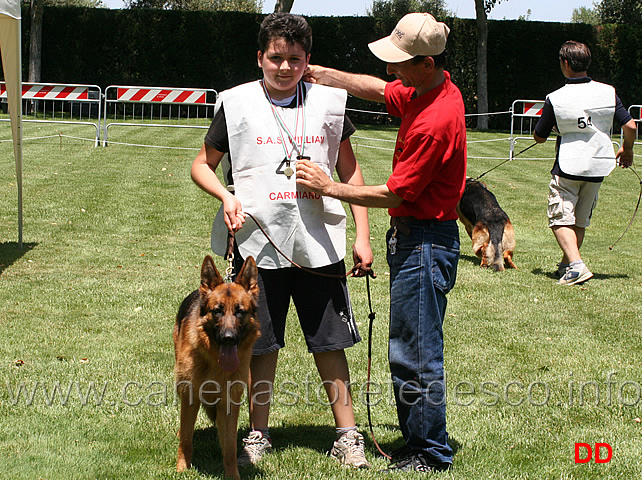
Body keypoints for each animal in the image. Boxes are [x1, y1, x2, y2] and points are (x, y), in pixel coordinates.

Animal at [172, 253, 260, 478]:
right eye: (217, 311)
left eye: (240, 312)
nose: (228, 338)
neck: (213, 360)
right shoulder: (190, 396)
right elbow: (186, 439)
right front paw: (182, 469)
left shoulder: (229, 403)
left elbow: (229, 447)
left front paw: (233, 475)